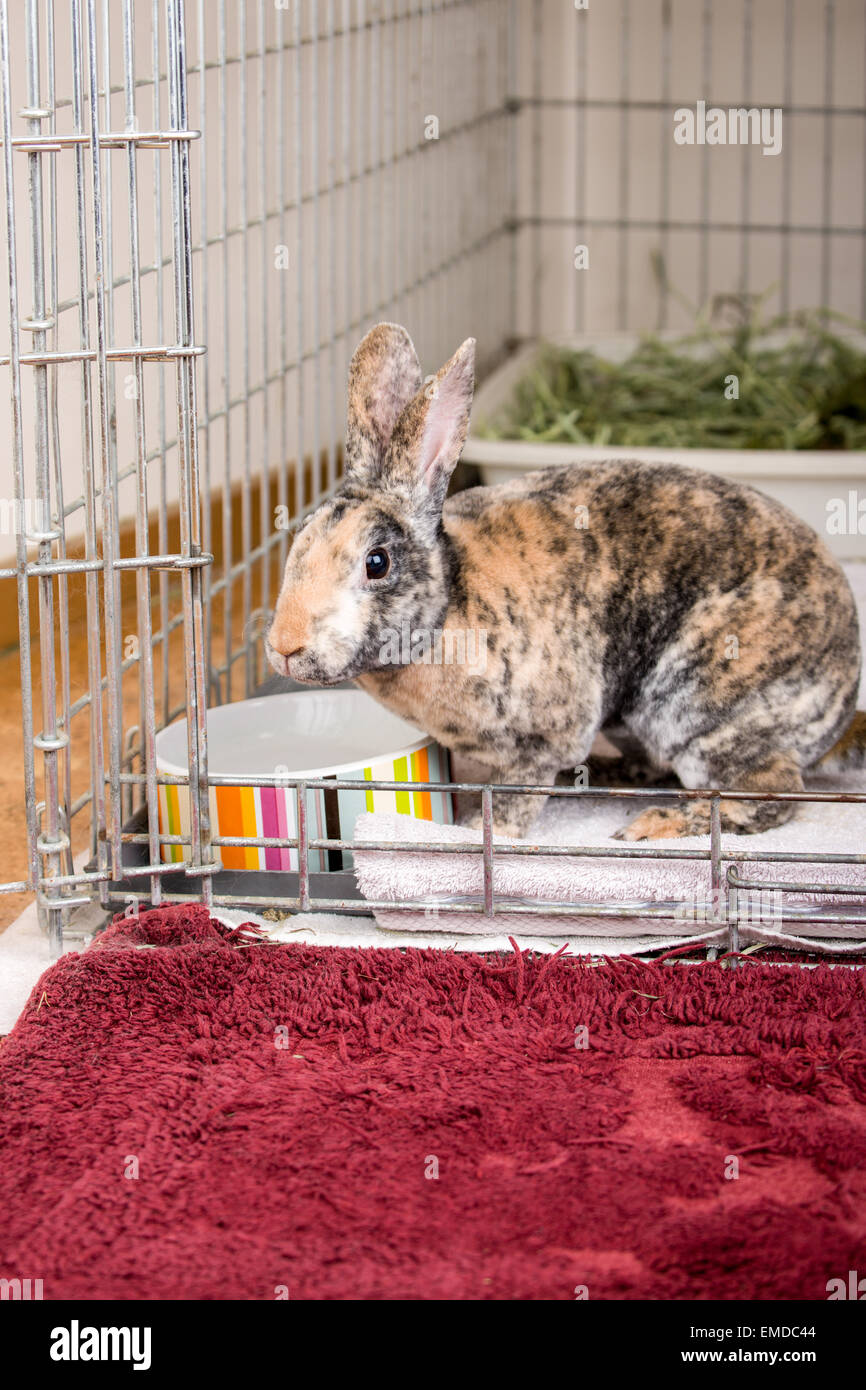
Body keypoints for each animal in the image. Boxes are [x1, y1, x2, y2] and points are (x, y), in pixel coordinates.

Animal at [267, 322, 864, 840]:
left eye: (377, 562)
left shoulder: (539, 745)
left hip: (700, 705)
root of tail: (842, 701)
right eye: (299, 538)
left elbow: (514, 797)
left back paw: (658, 825)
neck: (448, 609)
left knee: (772, 792)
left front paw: (475, 834)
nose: (283, 646)